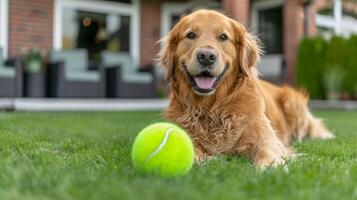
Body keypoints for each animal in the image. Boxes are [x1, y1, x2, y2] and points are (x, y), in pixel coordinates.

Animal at [159, 10, 334, 167]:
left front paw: (270, 167)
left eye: (223, 37)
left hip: (293, 103)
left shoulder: (265, 136)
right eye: (190, 35)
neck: (211, 109)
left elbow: (267, 150)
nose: (206, 57)